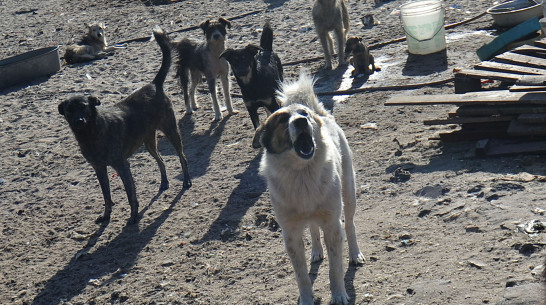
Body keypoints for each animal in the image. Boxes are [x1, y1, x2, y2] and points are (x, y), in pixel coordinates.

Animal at [58, 27, 191, 223]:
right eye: (69, 110)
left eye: (83, 107)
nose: (79, 121)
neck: (91, 134)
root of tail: (154, 84)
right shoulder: (100, 169)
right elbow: (107, 196)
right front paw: (106, 216)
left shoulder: (122, 166)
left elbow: (131, 195)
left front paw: (134, 217)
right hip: (149, 142)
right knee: (160, 159)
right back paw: (164, 183)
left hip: (171, 131)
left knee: (182, 156)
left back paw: (187, 181)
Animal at [258, 72, 364, 304]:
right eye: (281, 119)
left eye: (303, 113)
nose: (301, 121)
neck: (302, 174)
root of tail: (321, 113)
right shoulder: (291, 235)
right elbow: (302, 277)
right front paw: (306, 299)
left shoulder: (333, 226)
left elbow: (335, 269)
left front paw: (339, 295)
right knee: (313, 227)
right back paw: (316, 251)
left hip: (348, 194)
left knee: (350, 225)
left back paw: (355, 254)